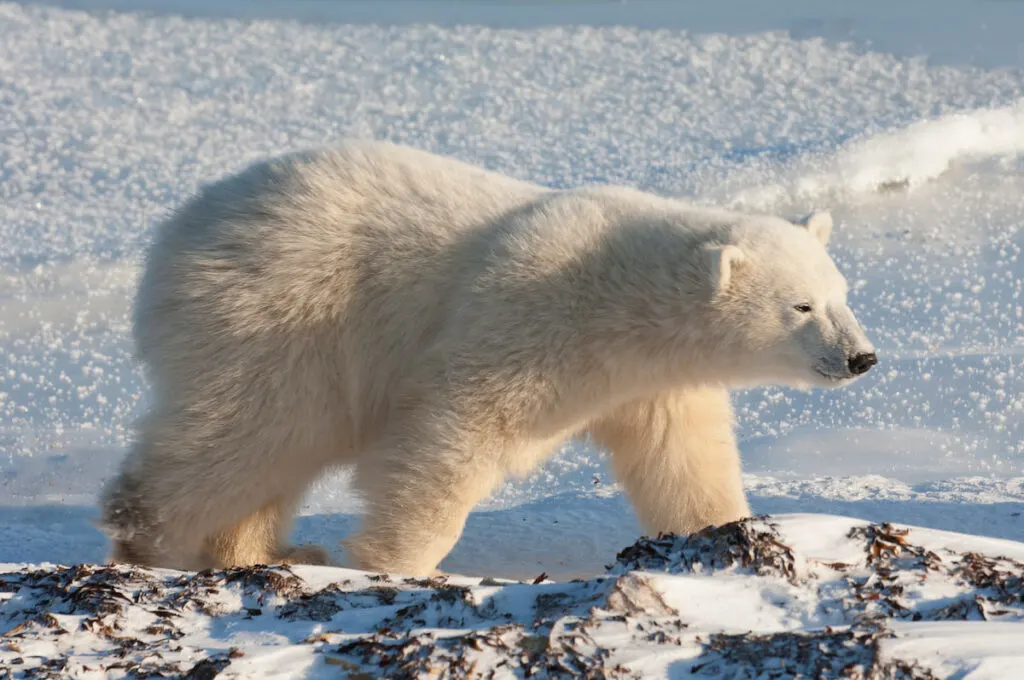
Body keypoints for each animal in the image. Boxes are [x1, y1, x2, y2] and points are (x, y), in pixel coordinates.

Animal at [99, 140, 876, 577]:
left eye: (842, 294)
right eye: (800, 306)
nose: (862, 358)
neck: (619, 298)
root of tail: (179, 231)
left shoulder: (650, 383)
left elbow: (682, 458)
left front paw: (724, 534)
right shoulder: (527, 317)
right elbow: (454, 431)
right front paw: (397, 563)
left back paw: (265, 553)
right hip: (283, 315)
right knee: (252, 429)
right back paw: (148, 536)